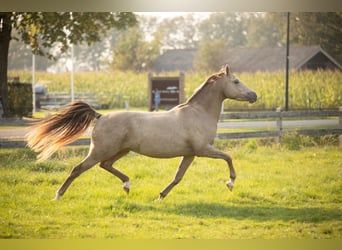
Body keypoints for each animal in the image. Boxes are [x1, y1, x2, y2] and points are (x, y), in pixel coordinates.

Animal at [26, 65, 256, 200]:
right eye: (236, 81)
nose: (254, 95)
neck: (199, 113)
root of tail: (100, 116)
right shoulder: (203, 149)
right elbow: (228, 157)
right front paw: (230, 183)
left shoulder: (190, 154)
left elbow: (178, 177)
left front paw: (160, 196)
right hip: (100, 151)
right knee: (78, 169)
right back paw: (58, 196)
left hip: (120, 151)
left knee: (105, 165)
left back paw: (127, 186)